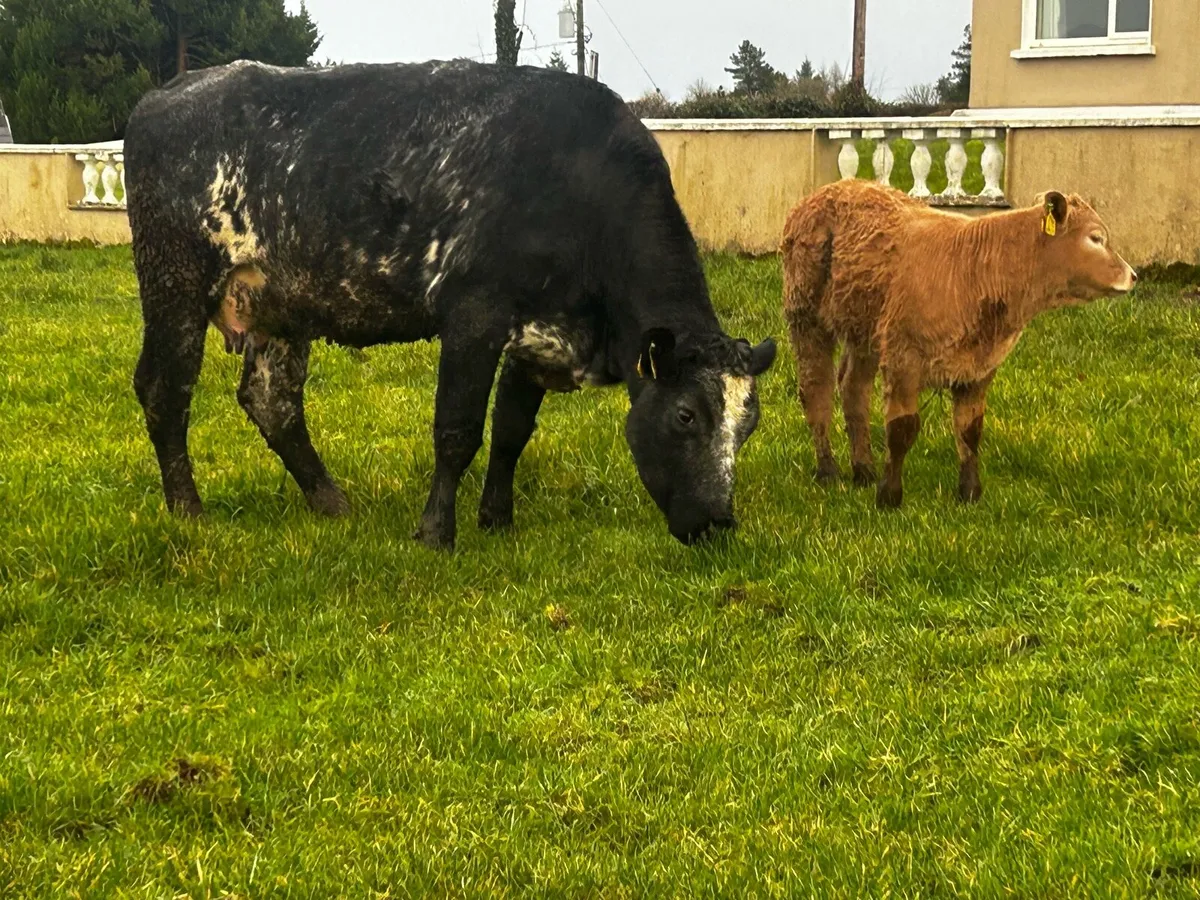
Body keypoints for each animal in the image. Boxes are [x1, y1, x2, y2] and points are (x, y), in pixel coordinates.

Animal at [124, 60, 777, 549]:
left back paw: (330, 501)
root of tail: (163, 96)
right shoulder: (473, 316)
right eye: (686, 415)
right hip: (174, 283)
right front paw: (437, 531)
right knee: (164, 389)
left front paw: (497, 518)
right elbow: (458, 431)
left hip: (280, 302)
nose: (718, 523)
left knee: (272, 401)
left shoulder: (537, 336)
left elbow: (512, 430)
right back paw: (188, 510)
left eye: (748, 427)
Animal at [781, 179, 1136, 509]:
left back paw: (863, 470)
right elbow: (901, 430)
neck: (974, 269)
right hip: (805, 316)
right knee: (817, 390)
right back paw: (828, 470)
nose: (1132, 276)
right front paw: (889, 497)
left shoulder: (979, 367)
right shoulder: (903, 357)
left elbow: (969, 429)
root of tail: (829, 189)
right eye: (1095, 238)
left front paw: (969, 492)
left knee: (853, 389)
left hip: (864, 329)